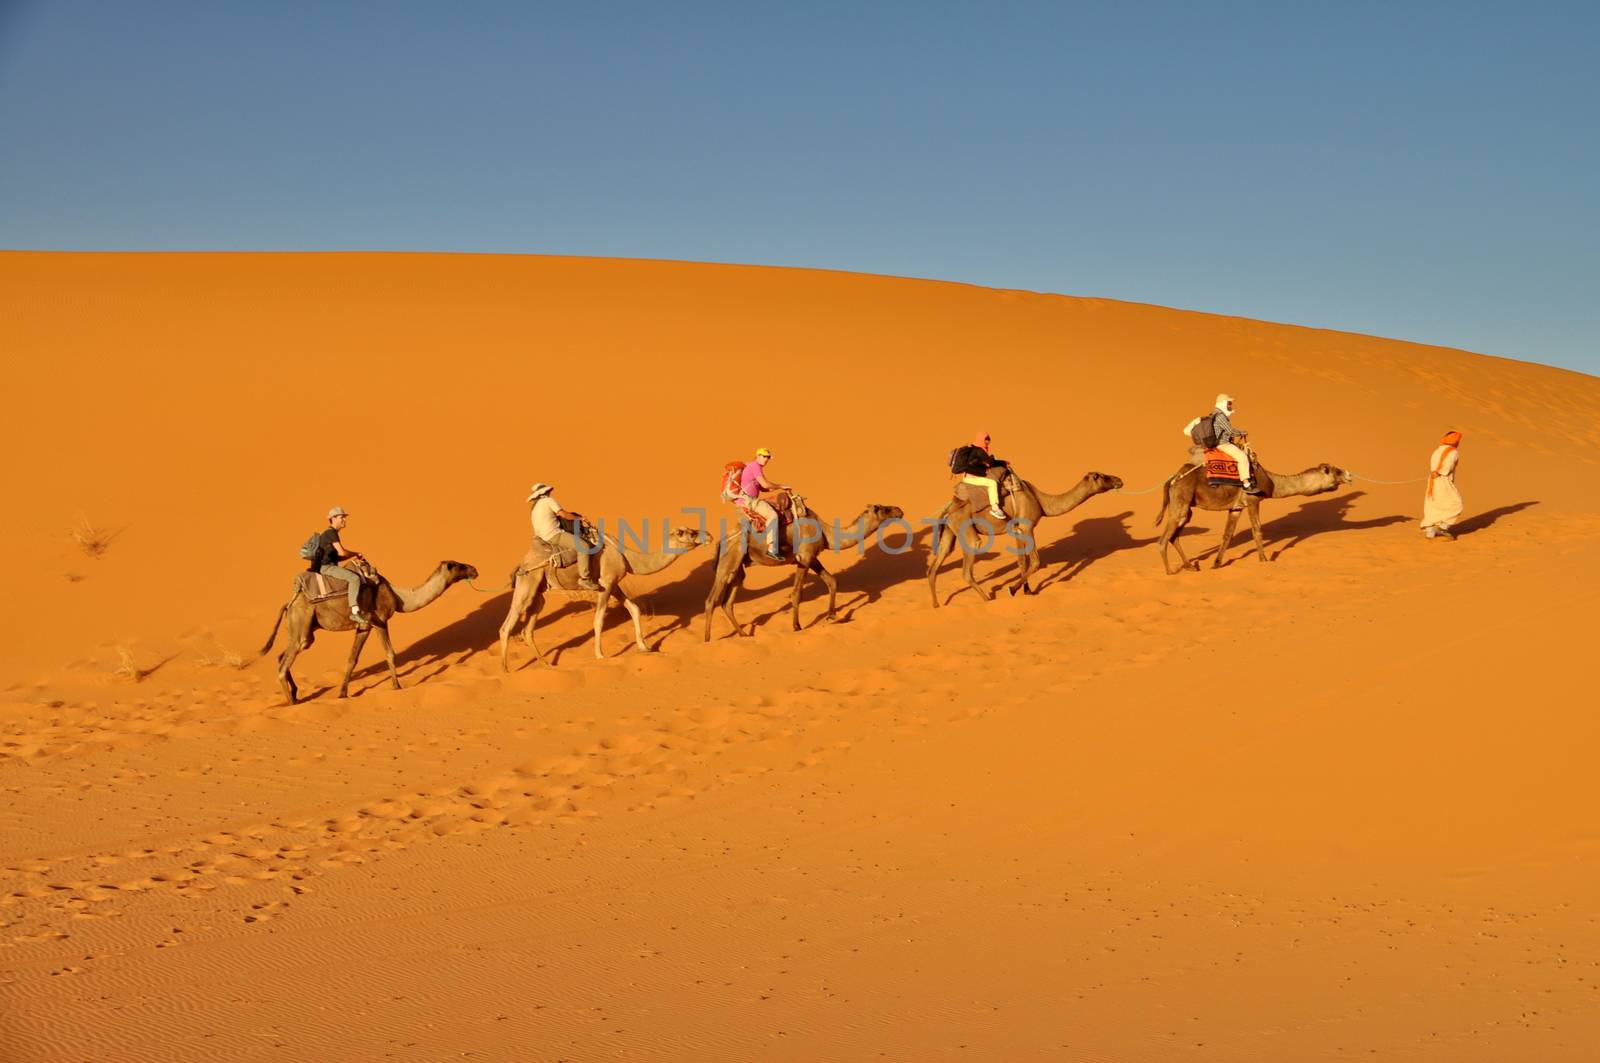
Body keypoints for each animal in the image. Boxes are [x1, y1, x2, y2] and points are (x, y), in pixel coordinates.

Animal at [257, 560, 473, 701]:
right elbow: (390, 654)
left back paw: (295, 693)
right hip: (302, 625)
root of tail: (289, 603)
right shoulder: (379, 621)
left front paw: (342, 693)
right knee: (283, 665)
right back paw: (292, 701)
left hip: (302, 630)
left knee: (281, 656)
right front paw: (397, 687)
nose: (475, 569)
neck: (399, 596)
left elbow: (352, 659)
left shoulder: (364, 626)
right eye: (459, 565)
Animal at [496, 525, 704, 669]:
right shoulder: (606, 583)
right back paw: (506, 670)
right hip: (527, 583)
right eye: (686, 533)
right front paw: (600, 655)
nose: (706, 535)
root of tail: (521, 563)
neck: (625, 555)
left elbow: (634, 609)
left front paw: (644, 647)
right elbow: (598, 620)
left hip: (538, 592)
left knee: (528, 629)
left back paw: (546, 664)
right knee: (507, 625)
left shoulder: (614, 584)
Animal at [707, 499, 908, 640]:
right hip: (728, 560)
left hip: (738, 567)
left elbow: (832, 581)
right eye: (884, 508)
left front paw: (832, 615)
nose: (900, 510)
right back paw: (707, 640)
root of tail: (721, 540)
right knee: (711, 600)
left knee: (727, 602)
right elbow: (797, 593)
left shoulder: (813, 558)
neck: (826, 532)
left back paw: (743, 634)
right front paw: (797, 626)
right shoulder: (804, 558)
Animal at [928, 473, 1126, 605]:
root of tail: (950, 506)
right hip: (965, 528)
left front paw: (1027, 591)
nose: (1119, 480)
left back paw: (936, 605)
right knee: (967, 567)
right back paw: (987, 599)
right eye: (1103, 477)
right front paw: (1012, 589)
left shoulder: (1017, 530)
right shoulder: (1027, 527)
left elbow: (1022, 561)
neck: (1040, 501)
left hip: (950, 530)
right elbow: (1036, 562)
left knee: (935, 566)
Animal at [1152, 457, 1350, 573]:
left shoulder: (1236, 507)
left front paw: (1217, 564)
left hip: (1186, 507)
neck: (1272, 481)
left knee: (1175, 535)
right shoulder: (1253, 500)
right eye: (1336, 471)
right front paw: (1264, 560)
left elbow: (1227, 535)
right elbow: (1257, 530)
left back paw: (1190, 566)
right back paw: (1170, 572)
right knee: (1164, 539)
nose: (1349, 475)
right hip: (1181, 500)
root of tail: (1173, 478)